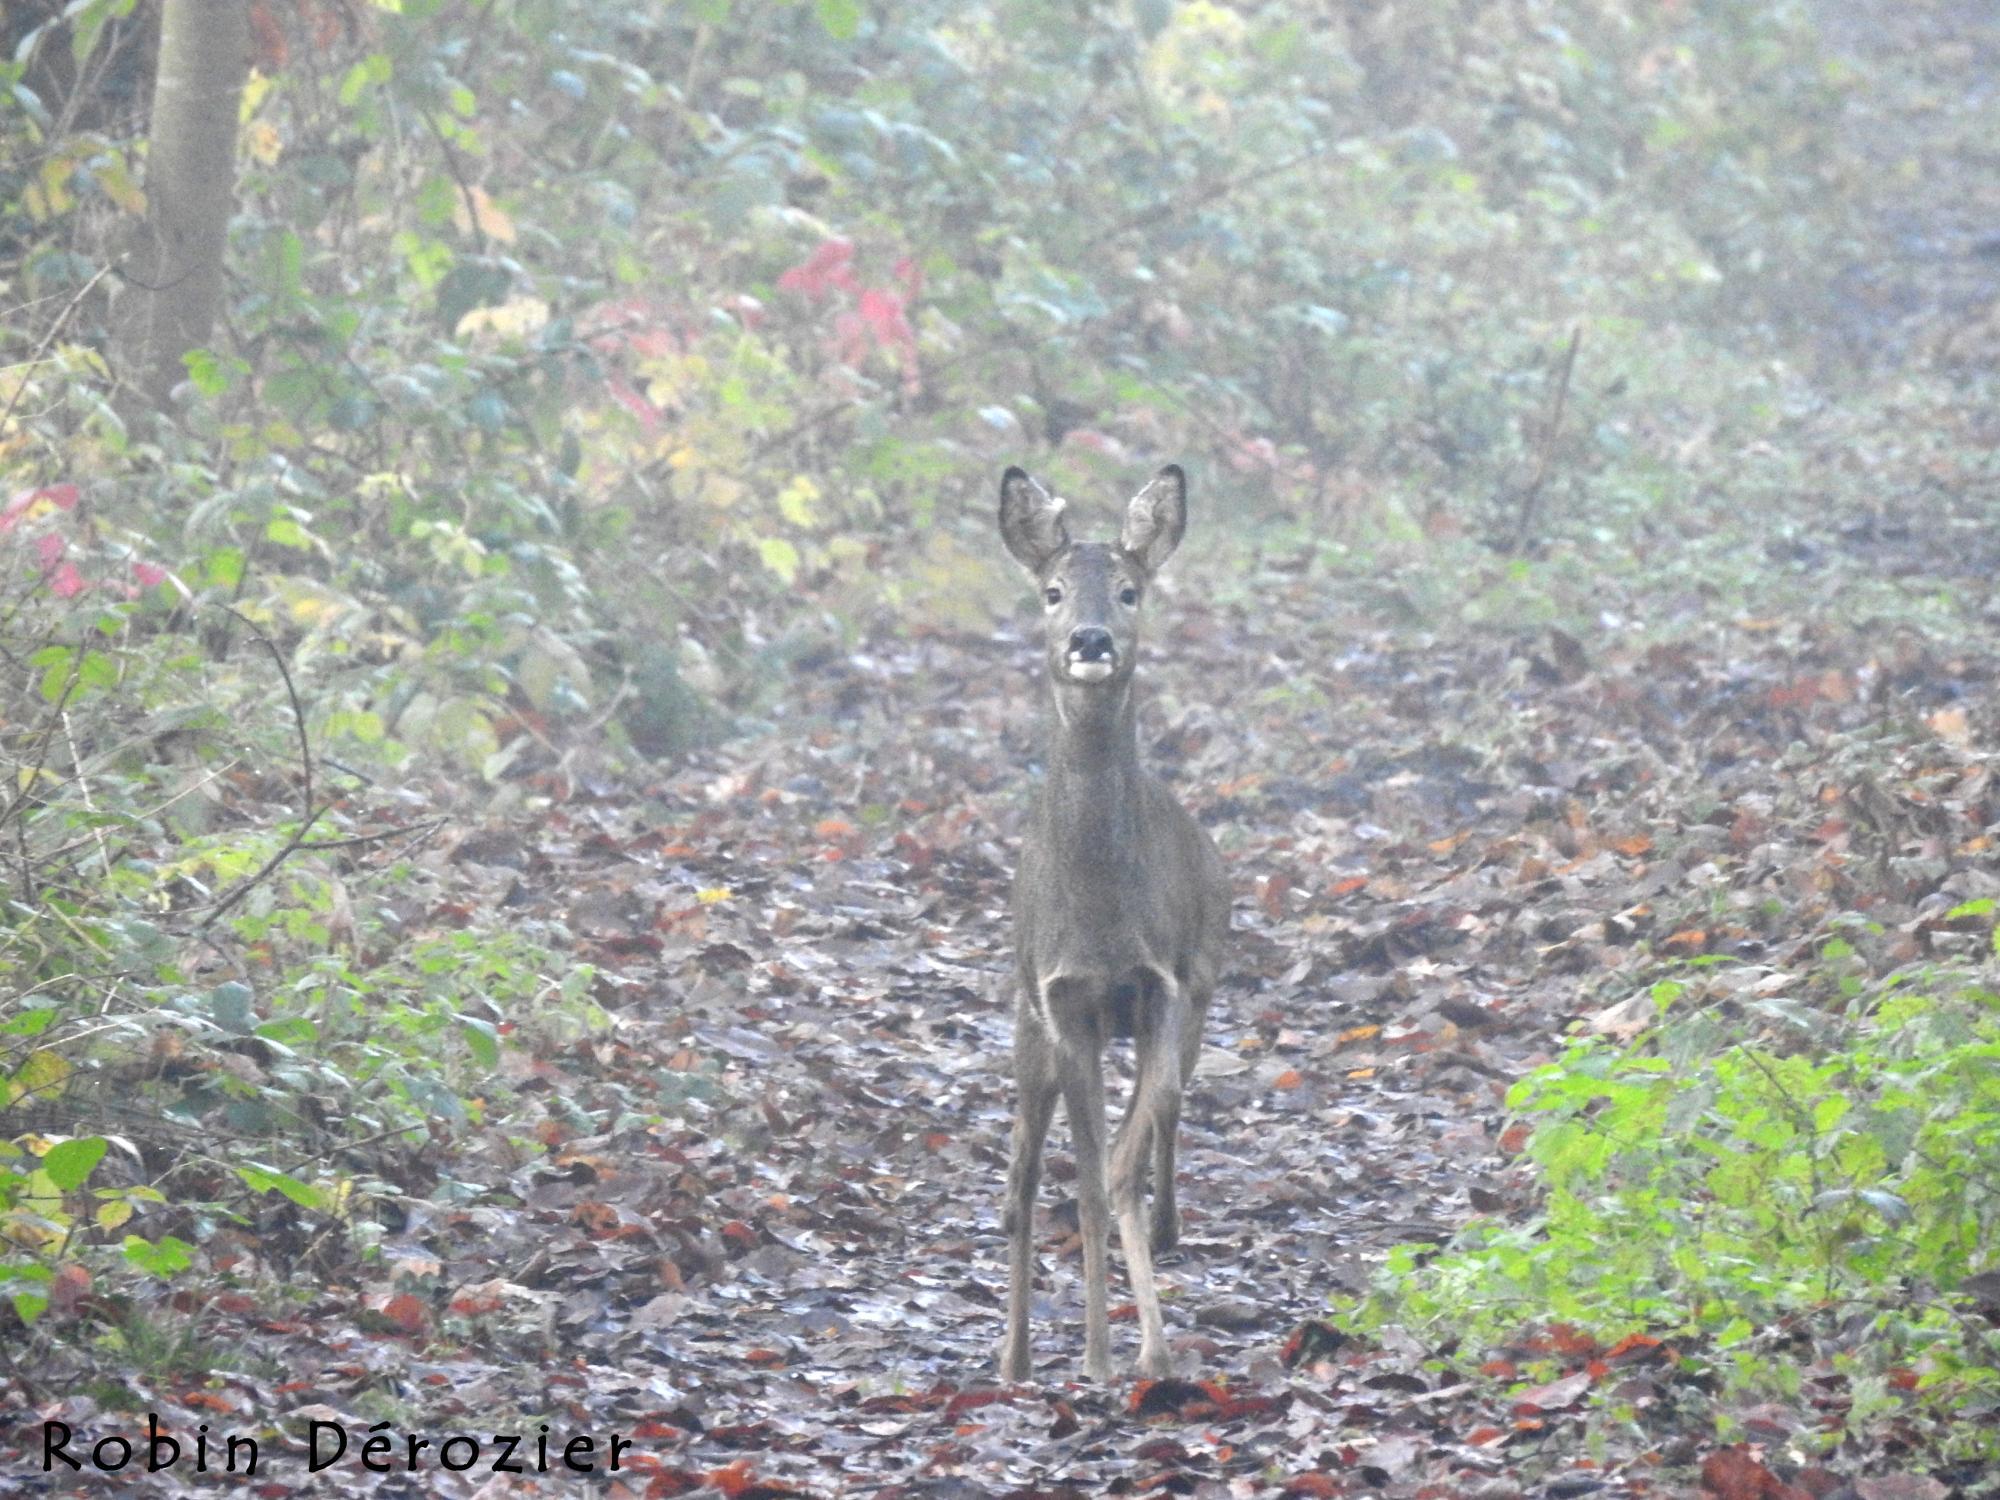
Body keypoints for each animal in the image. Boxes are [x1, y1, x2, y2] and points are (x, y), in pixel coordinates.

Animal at [992, 462, 1224, 1384]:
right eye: (1052, 591)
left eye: (1131, 590)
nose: (1090, 639)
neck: (1098, 915)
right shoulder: (1065, 1003)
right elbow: (1086, 1182)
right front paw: (1095, 1354)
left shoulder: (1162, 990)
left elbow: (1122, 1162)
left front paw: (1147, 1348)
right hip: (1025, 1024)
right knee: (1020, 1179)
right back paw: (1014, 1360)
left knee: (1158, 1119)